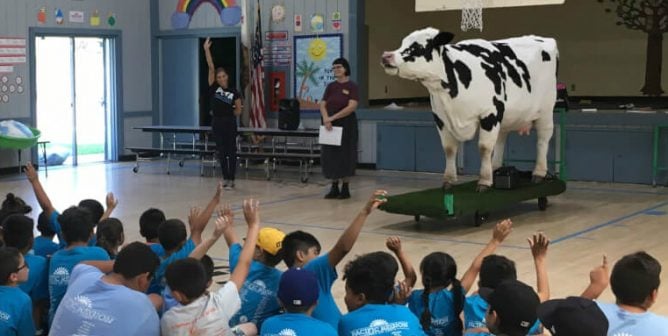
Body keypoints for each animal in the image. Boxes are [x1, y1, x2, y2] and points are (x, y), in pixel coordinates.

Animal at [380, 27, 560, 192]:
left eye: (418, 46)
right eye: (403, 43)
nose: (386, 56)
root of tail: (543, 38)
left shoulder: (490, 113)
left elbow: (484, 147)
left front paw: (484, 181)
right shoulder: (441, 118)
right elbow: (449, 149)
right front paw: (449, 180)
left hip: (546, 110)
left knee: (543, 140)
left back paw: (538, 173)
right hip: (506, 115)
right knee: (501, 139)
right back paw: (495, 168)